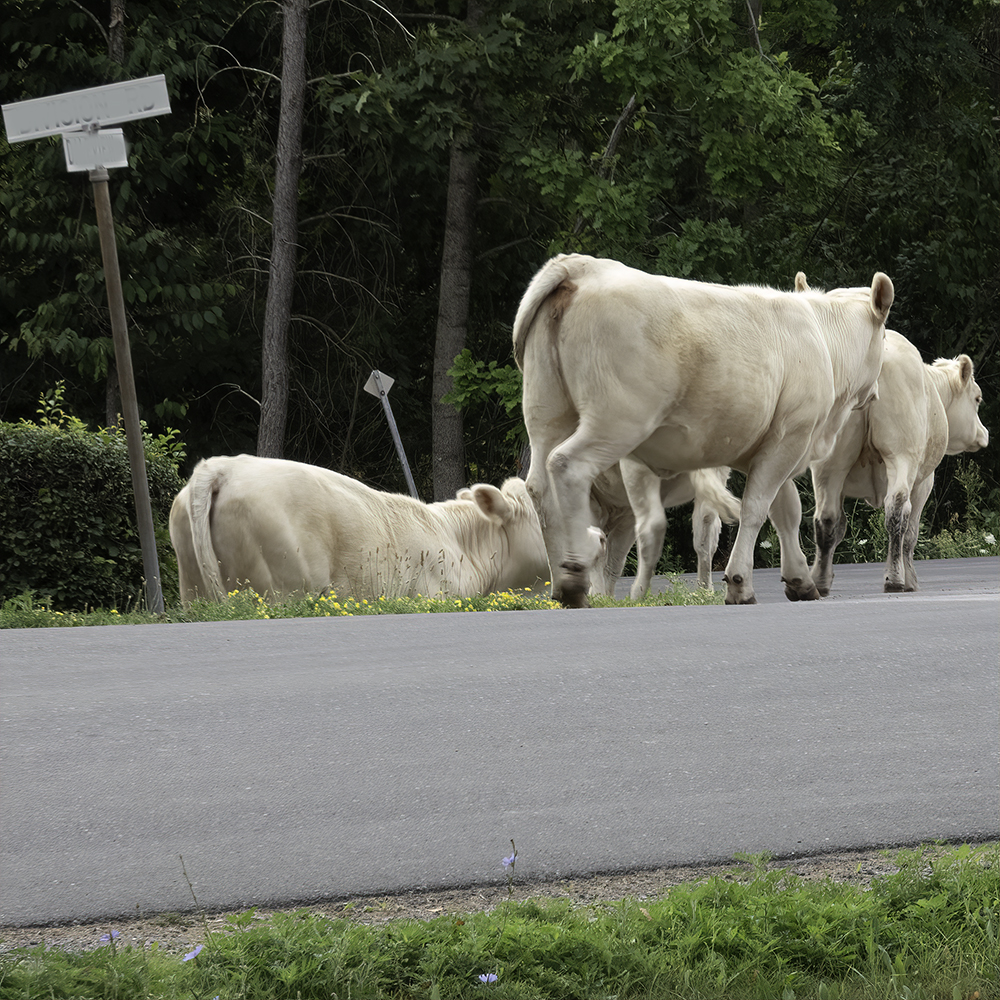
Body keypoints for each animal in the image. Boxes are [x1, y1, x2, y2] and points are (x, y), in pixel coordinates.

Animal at [513, 253, 893, 607]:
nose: (877, 389)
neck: (824, 341)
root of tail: (583, 266)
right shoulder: (792, 436)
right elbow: (755, 509)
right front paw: (739, 583)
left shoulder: (776, 444)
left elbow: (785, 512)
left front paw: (800, 581)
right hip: (617, 420)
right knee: (568, 466)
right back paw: (576, 576)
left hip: (547, 412)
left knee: (540, 488)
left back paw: (563, 582)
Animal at [805, 315, 989, 594]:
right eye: (977, 399)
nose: (983, 433)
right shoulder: (924, 482)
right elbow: (911, 532)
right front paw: (911, 579)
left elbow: (840, 526)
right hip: (902, 455)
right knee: (897, 510)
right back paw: (895, 578)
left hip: (829, 463)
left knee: (825, 517)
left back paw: (819, 581)